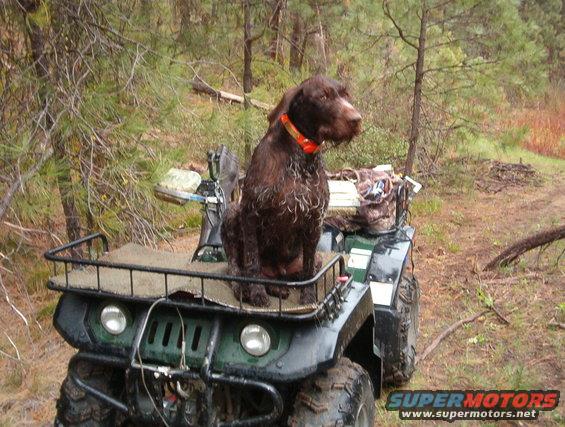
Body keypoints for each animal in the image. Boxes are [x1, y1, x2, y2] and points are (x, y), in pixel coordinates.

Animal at [220, 75, 362, 306]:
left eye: (346, 94)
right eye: (323, 96)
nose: (356, 119)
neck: (302, 157)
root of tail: (278, 271)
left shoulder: (314, 221)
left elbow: (309, 271)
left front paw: (309, 297)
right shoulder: (250, 213)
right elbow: (252, 261)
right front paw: (257, 293)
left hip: (310, 260)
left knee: (291, 275)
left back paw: (279, 288)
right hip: (232, 213)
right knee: (235, 268)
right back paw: (245, 289)